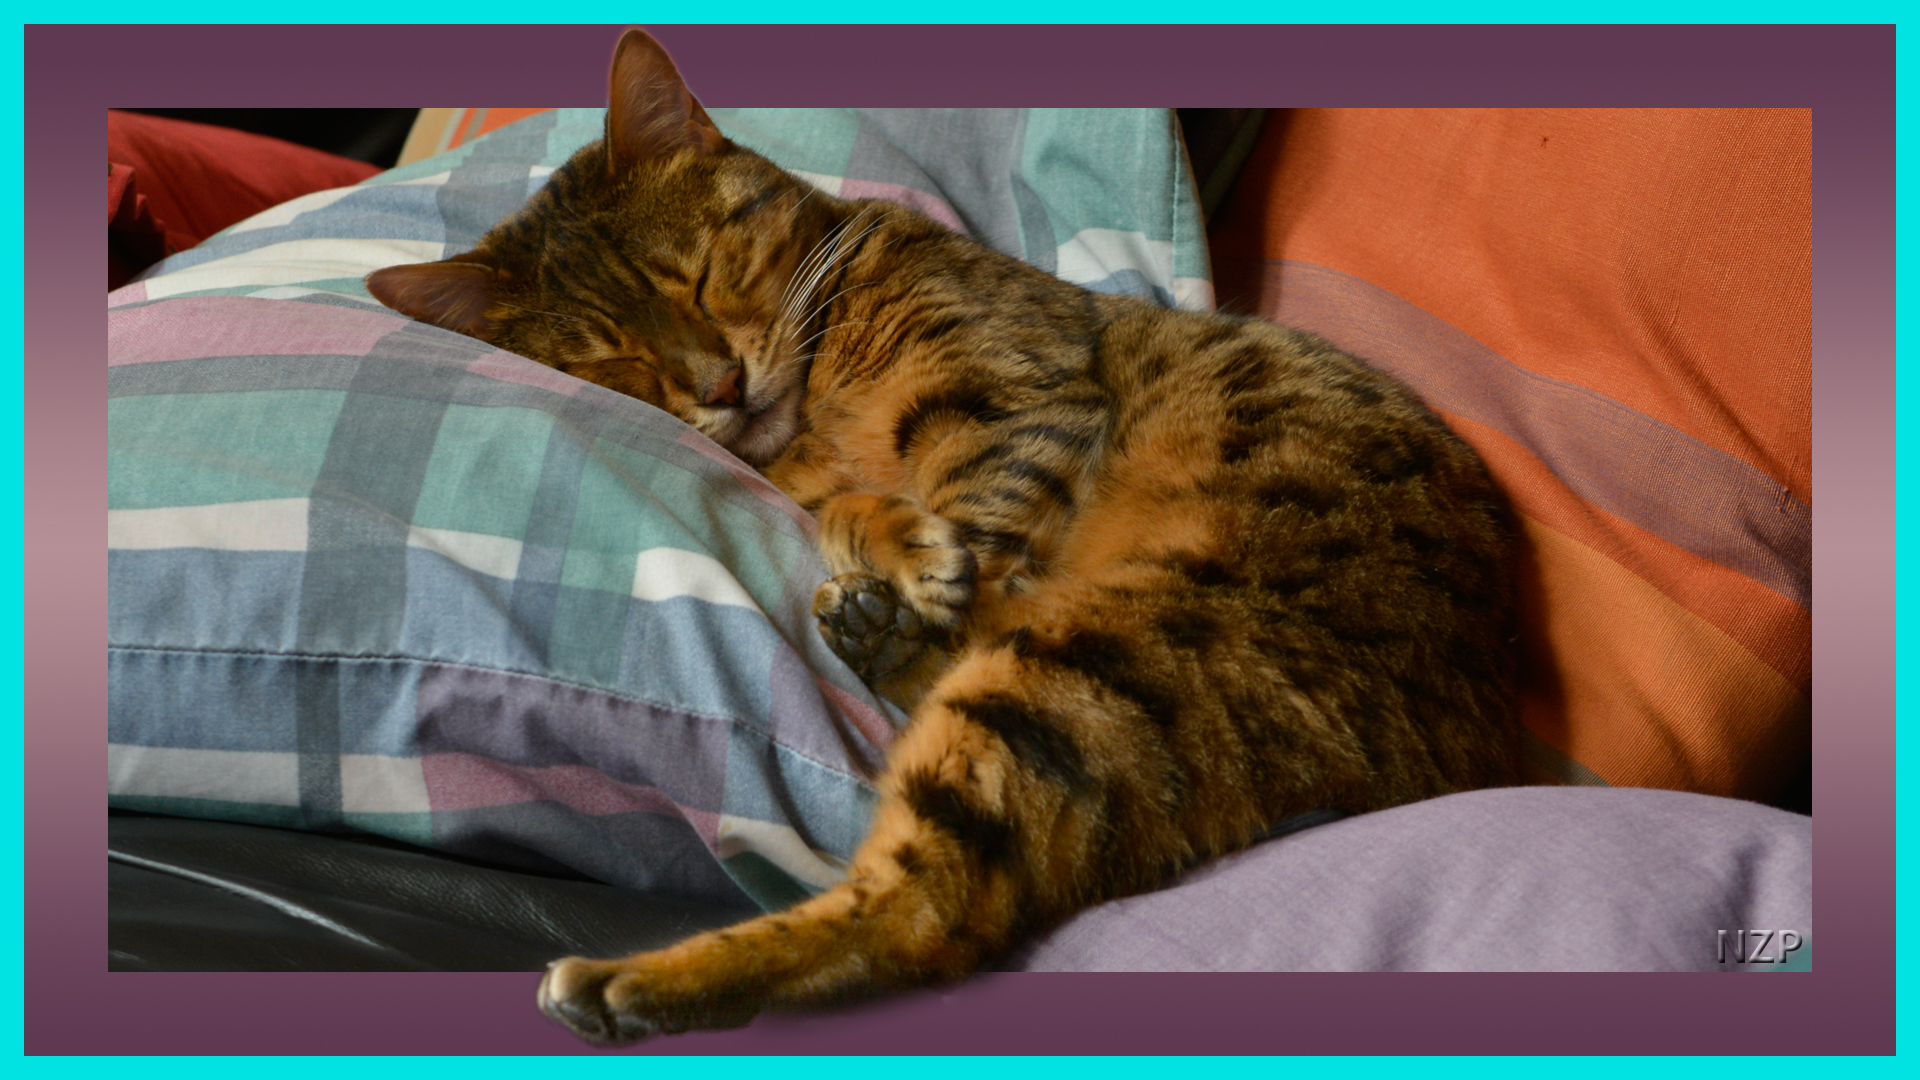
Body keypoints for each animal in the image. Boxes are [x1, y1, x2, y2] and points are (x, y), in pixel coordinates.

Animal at [366, 29, 1520, 1045]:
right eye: (613, 362)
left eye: (697, 276)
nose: (719, 386)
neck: (815, 402)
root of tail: (1446, 754)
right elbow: (854, 510)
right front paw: (890, 549)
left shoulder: (1012, 396)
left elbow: (978, 504)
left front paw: (929, 556)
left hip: (1102, 663)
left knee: (926, 913)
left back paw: (632, 978)